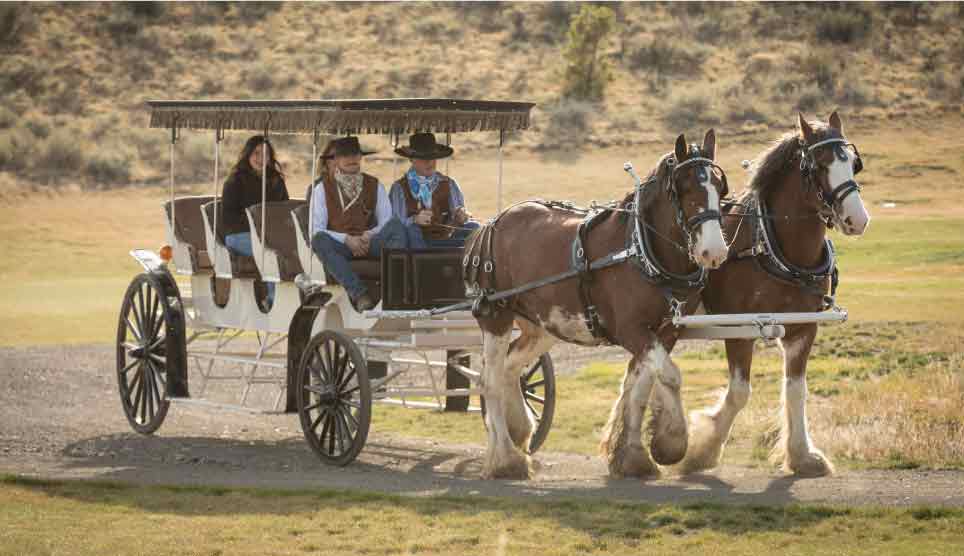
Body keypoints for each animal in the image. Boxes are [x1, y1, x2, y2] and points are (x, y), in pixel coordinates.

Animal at [470, 130, 728, 478]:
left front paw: (633, 456)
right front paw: (672, 442)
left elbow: (642, 384)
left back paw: (518, 432)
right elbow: (670, 376)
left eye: (720, 187)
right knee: (490, 381)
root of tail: (495, 222)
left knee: (511, 369)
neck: (640, 251)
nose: (714, 252)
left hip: (542, 326)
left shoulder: (666, 331)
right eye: (685, 188)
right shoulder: (631, 330)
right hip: (496, 317)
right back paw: (505, 458)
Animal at [676, 113, 872, 478]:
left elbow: (796, 390)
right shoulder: (739, 329)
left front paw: (802, 455)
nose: (858, 218)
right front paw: (702, 449)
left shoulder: (803, 329)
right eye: (819, 166)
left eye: (854, 163)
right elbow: (739, 393)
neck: (771, 247)